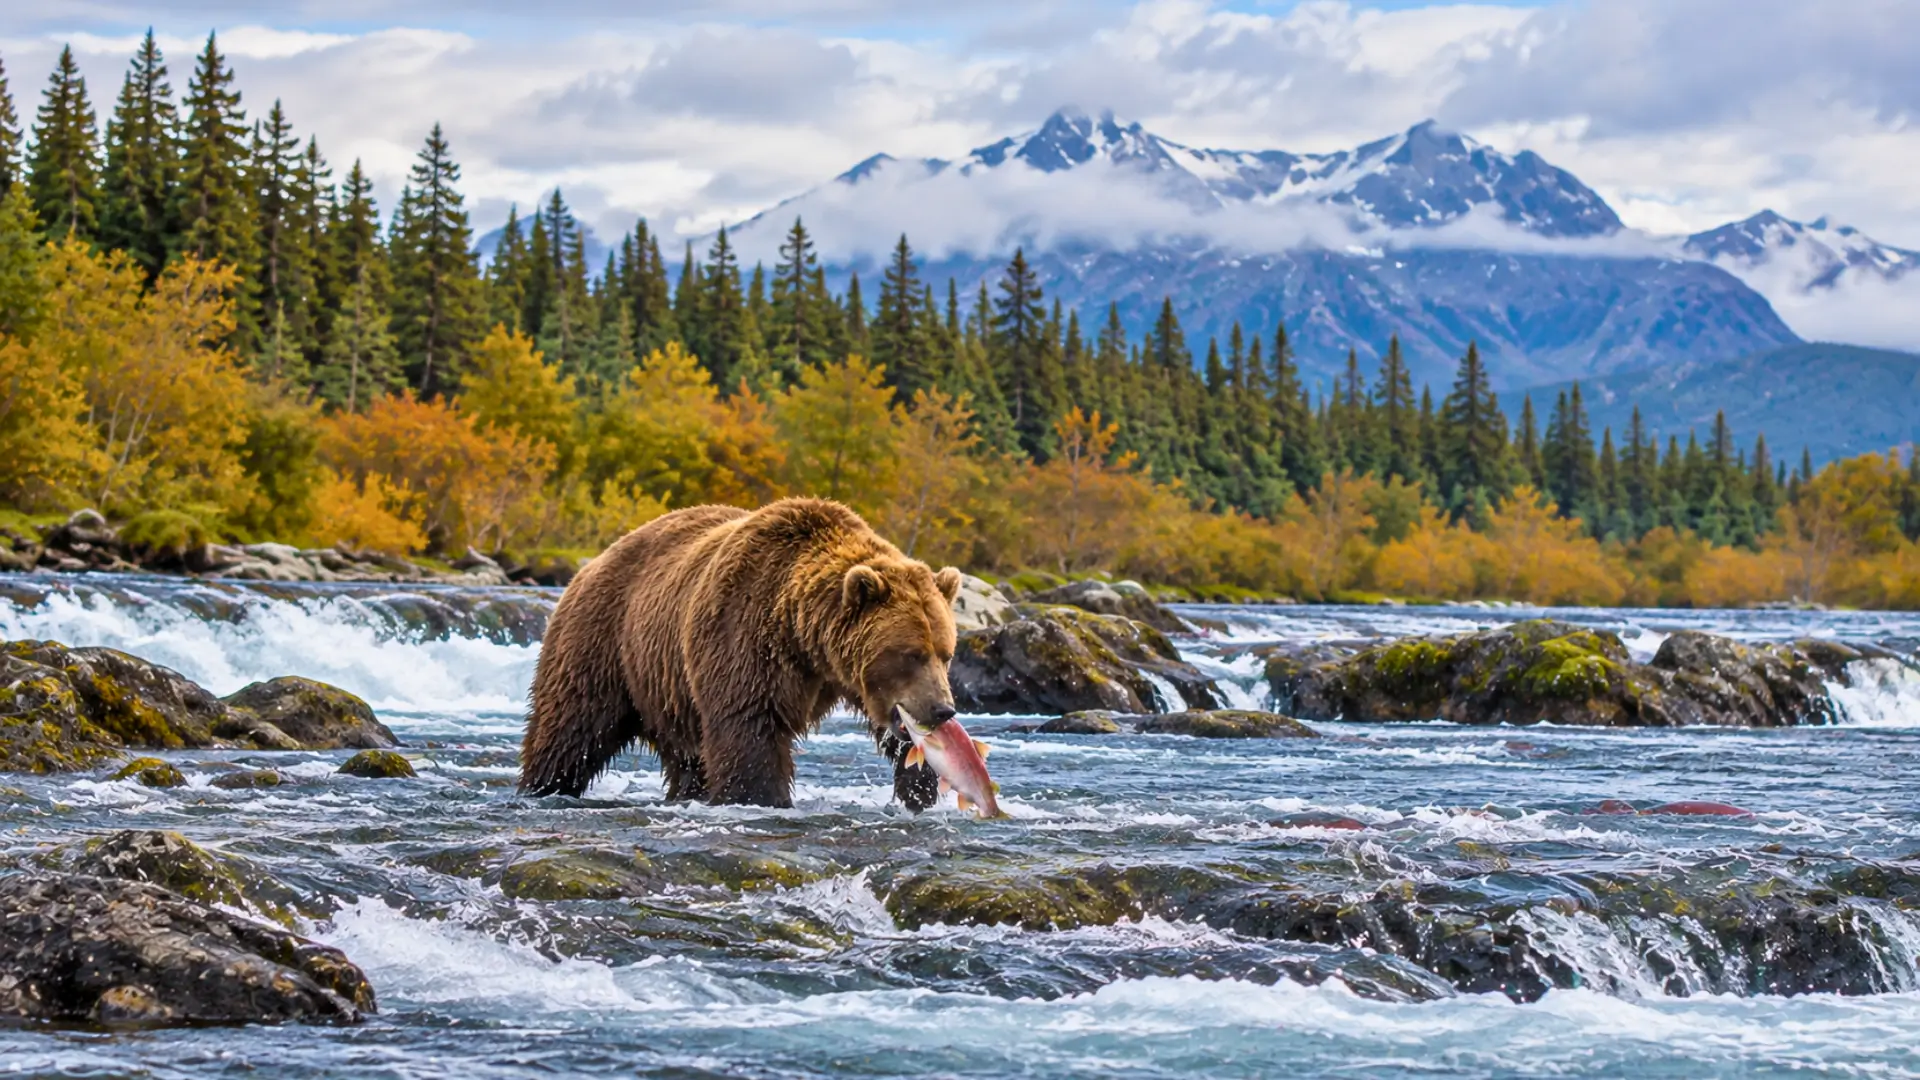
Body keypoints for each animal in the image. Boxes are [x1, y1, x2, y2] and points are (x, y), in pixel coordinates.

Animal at [518, 497, 964, 809]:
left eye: (945, 654)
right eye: (910, 654)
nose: (943, 709)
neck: (803, 636)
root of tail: (592, 563)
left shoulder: (843, 672)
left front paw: (922, 787)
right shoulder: (744, 630)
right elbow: (749, 724)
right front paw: (760, 797)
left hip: (668, 688)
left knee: (687, 755)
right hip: (603, 641)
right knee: (570, 727)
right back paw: (543, 786)